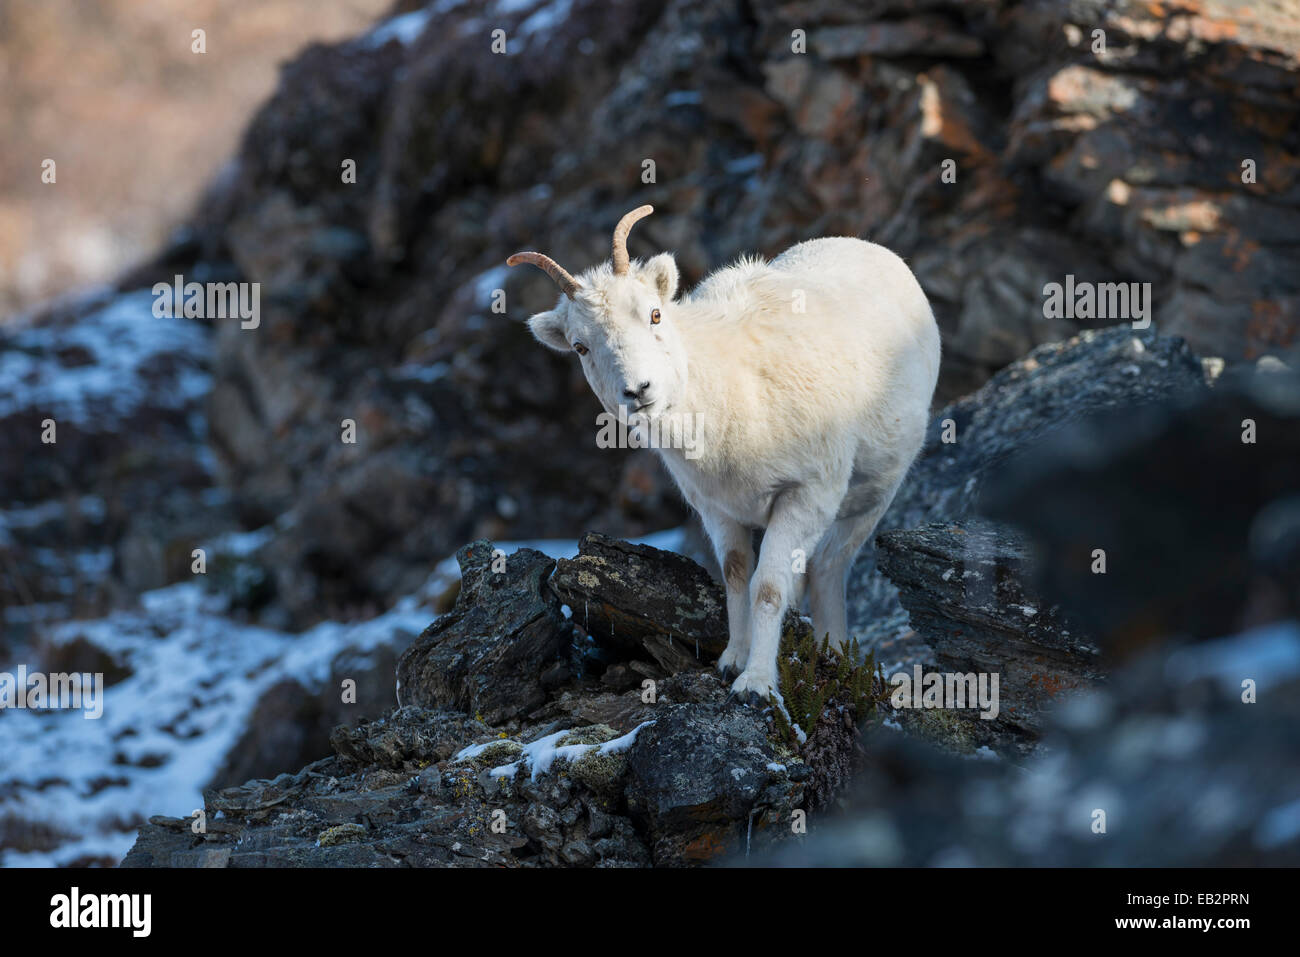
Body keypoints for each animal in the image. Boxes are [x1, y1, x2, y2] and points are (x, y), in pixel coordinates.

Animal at [508, 205, 941, 703]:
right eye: (580, 346)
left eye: (654, 314)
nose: (638, 390)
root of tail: (868, 248)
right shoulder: (718, 509)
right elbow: (736, 577)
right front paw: (734, 661)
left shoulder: (805, 497)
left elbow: (768, 587)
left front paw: (756, 685)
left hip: (871, 499)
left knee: (829, 568)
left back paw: (834, 653)